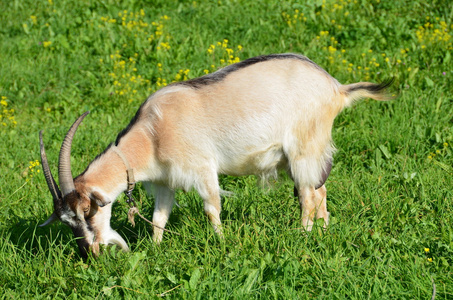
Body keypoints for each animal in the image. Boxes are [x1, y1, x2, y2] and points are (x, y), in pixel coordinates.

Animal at [38, 52, 392, 256]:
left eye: (87, 213)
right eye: (66, 222)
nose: (91, 253)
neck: (151, 133)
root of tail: (337, 88)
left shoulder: (201, 167)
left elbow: (212, 208)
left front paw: (221, 244)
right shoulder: (166, 180)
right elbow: (159, 218)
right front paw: (155, 251)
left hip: (302, 148)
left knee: (307, 195)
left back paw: (302, 236)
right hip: (309, 154)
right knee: (320, 191)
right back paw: (323, 231)